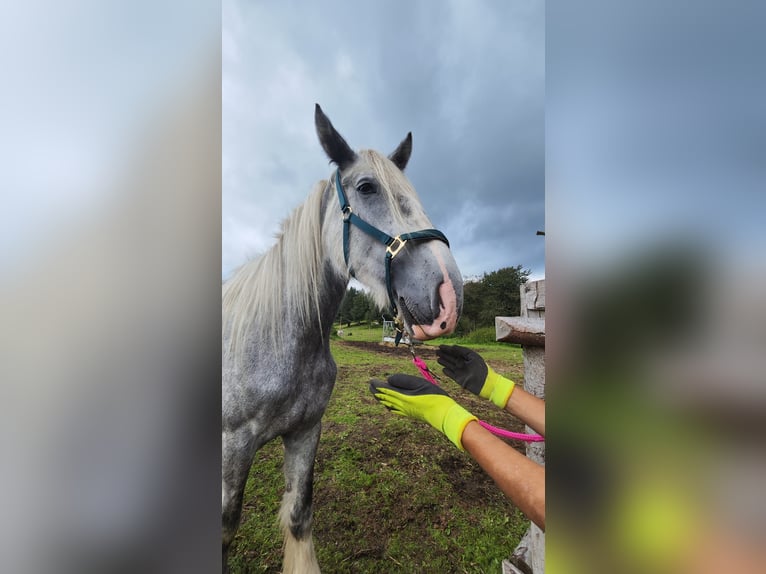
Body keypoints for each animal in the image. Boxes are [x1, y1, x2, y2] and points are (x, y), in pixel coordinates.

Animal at [222, 105, 463, 573]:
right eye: (367, 187)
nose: (449, 295)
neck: (280, 341)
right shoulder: (231, 447)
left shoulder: (305, 432)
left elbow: (299, 515)